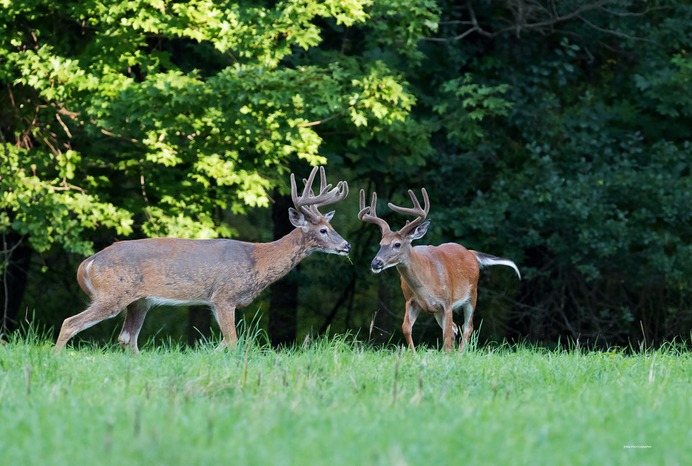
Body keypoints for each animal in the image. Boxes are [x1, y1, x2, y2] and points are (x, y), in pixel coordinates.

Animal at [55, 166, 351, 353]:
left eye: (331, 226)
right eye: (323, 230)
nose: (346, 246)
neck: (258, 261)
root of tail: (89, 262)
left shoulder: (216, 301)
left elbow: (224, 342)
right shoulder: (224, 296)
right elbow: (232, 341)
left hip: (139, 301)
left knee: (127, 338)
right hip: (113, 294)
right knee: (70, 323)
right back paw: (57, 357)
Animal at [358, 187, 520, 352]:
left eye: (397, 244)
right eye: (380, 243)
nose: (375, 263)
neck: (426, 284)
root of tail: (471, 253)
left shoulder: (447, 302)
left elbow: (447, 335)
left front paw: (447, 353)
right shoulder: (411, 301)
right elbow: (406, 328)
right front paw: (413, 354)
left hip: (472, 294)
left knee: (467, 327)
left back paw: (459, 353)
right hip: (437, 311)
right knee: (454, 328)